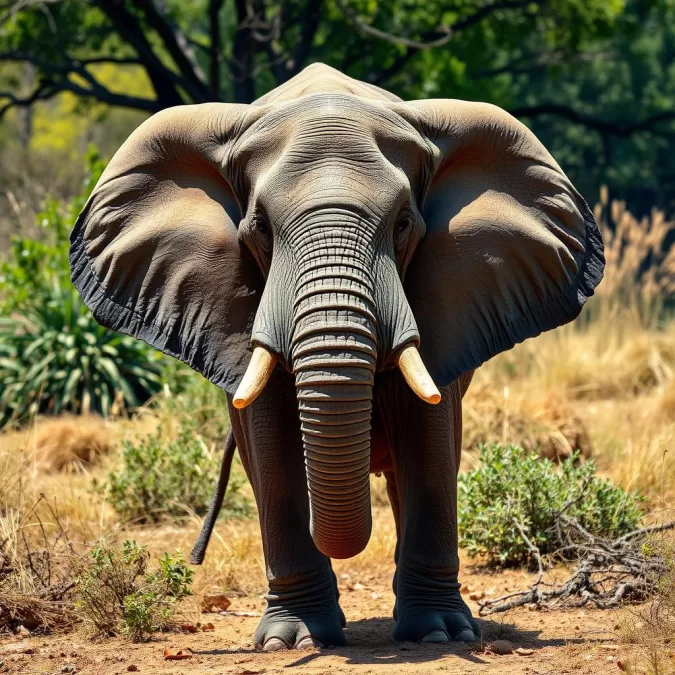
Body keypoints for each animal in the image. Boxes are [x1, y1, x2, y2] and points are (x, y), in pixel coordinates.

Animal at [70, 63, 604, 650]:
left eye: (402, 223)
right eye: (259, 227)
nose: (192, 561)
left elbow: (431, 442)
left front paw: (439, 635)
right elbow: (273, 450)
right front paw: (294, 640)